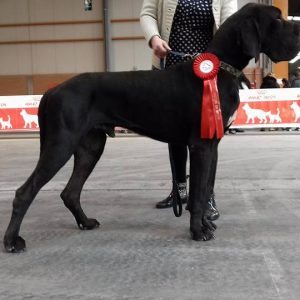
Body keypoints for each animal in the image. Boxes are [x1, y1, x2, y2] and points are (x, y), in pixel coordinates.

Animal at [2, 3, 300, 252]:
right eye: (277, 19)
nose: (298, 29)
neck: (219, 69)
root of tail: (52, 90)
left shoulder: (212, 144)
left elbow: (204, 190)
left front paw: (205, 224)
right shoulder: (201, 146)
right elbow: (197, 194)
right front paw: (198, 231)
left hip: (90, 147)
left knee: (70, 192)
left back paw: (85, 222)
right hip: (60, 145)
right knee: (24, 192)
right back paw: (12, 241)